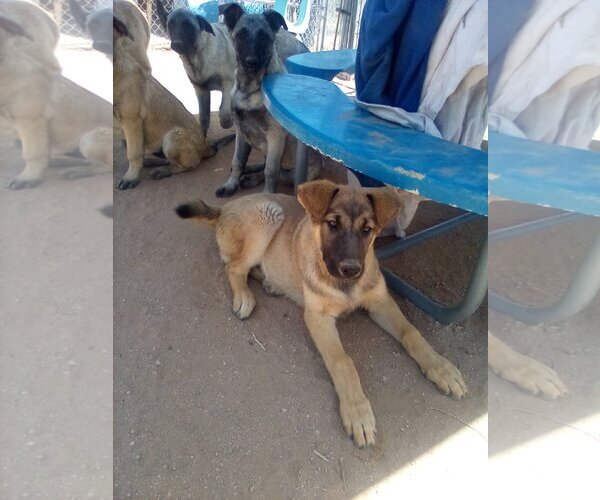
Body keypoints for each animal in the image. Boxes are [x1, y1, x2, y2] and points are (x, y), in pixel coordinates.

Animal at [176, 181, 466, 450]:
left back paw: (271, 283)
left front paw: (441, 368)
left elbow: (411, 332)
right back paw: (245, 297)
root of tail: (224, 209)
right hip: (268, 216)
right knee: (234, 268)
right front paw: (358, 412)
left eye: (367, 230)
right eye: (332, 224)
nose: (351, 269)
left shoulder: (380, 301)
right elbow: (342, 361)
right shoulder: (318, 317)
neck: (345, 286)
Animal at [216, 5, 308, 198]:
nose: (251, 62)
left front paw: (266, 196)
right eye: (241, 35)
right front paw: (231, 184)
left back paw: (252, 177)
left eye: (264, 36)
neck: (250, 88)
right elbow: (238, 161)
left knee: (278, 172)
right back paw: (250, 171)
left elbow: (271, 172)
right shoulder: (240, 130)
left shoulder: (275, 136)